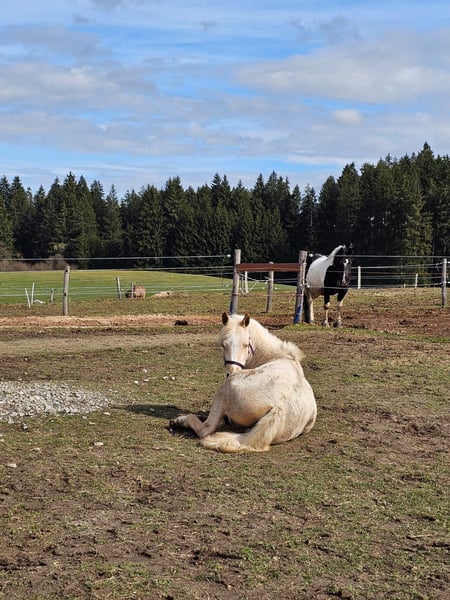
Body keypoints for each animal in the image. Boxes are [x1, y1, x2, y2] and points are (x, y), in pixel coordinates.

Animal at [169, 312, 317, 453]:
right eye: (223, 345)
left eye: (246, 344)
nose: (232, 371)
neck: (277, 356)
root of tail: (280, 407)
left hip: (224, 391)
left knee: (206, 428)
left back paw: (181, 421)